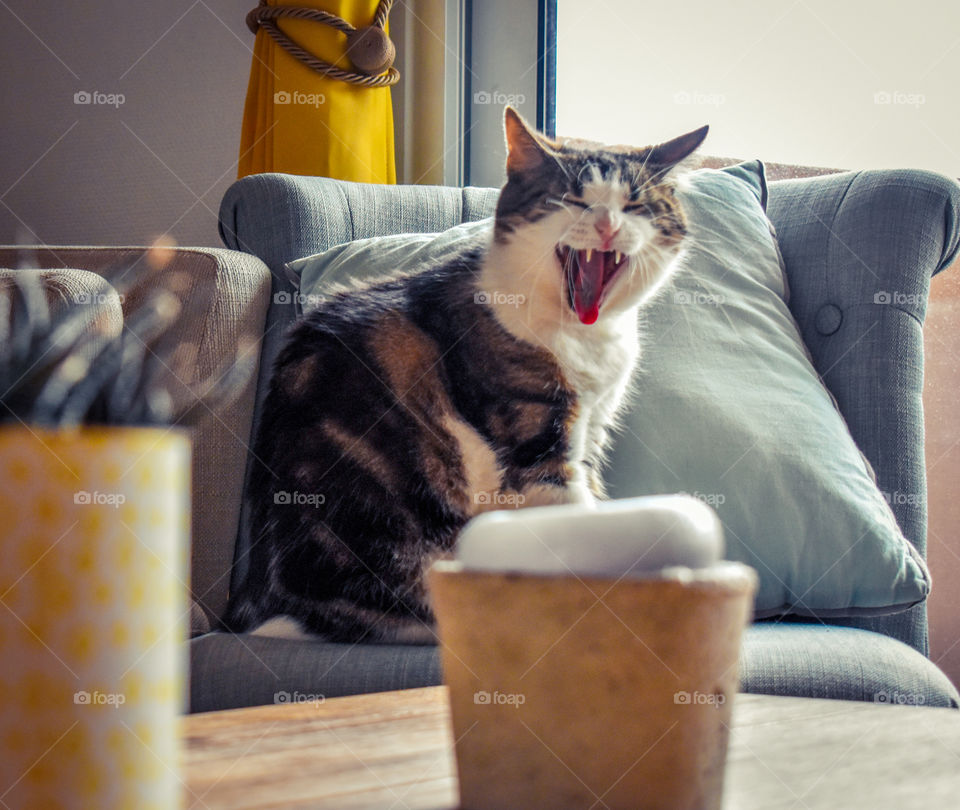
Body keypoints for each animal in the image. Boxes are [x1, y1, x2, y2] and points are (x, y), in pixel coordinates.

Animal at [223, 107, 704, 640]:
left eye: (635, 205)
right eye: (572, 199)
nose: (606, 225)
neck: (586, 338)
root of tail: (261, 601)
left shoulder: (592, 427)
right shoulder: (536, 438)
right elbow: (572, 511)